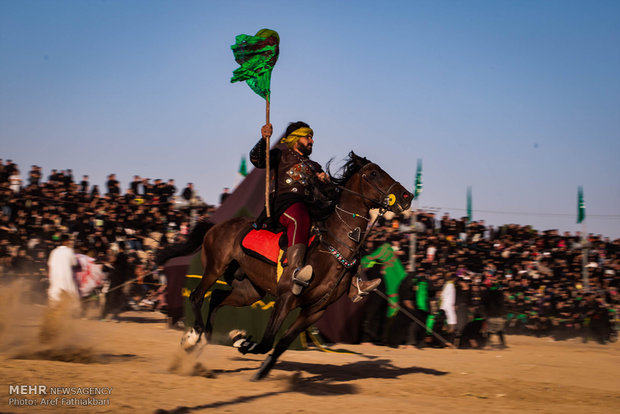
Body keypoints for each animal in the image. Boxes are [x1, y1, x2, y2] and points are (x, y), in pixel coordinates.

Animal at [178, 151, 412, 378]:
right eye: (373, 173)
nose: (407, 196)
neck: (332, 247)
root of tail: (215, 226)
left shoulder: (315, 310)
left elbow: (280, 344)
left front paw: (253, 358)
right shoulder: (286, 298)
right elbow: (266, 342)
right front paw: (242, 341)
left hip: (250, 291)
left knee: (217, 298)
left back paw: (202, 341)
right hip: (214, 268)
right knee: (197, 296)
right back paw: (194, 336)